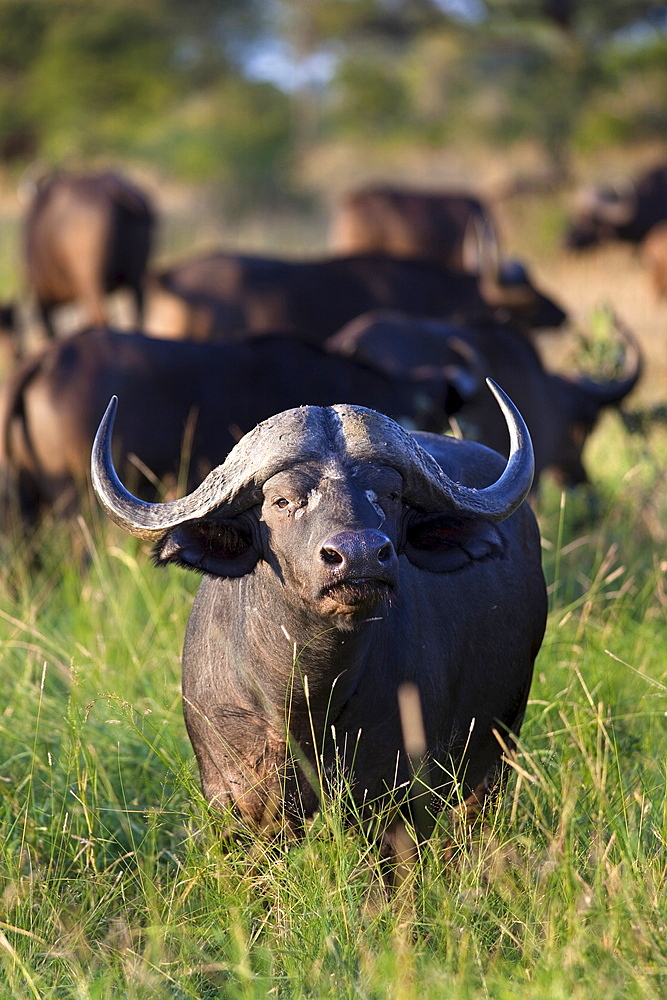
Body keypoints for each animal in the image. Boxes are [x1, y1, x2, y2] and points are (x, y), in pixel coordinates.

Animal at [24, 170, 155, 338]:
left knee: (99, 317)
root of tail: (113, 189)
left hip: (89, 279)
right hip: (137, 275)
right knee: (138, 316)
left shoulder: (43, 298)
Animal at [90, 390, 548, 860]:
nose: (360, 555)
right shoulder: (235, 803)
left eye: (390, 494)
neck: (305, 700)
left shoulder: (397, 803)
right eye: (283, 501)